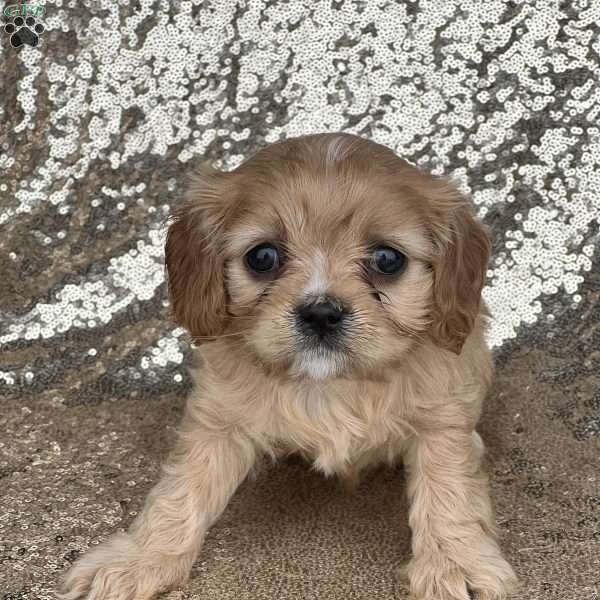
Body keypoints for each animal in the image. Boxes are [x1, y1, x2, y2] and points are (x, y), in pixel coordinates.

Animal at [63, 132, 516, 600]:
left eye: (388, 260)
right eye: (262, 257)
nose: (321, 313)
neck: (330, 385)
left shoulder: (443, 420)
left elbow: (448, 490)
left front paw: (453, 563)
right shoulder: (217, 420)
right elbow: (183, 488)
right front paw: (140, 559)